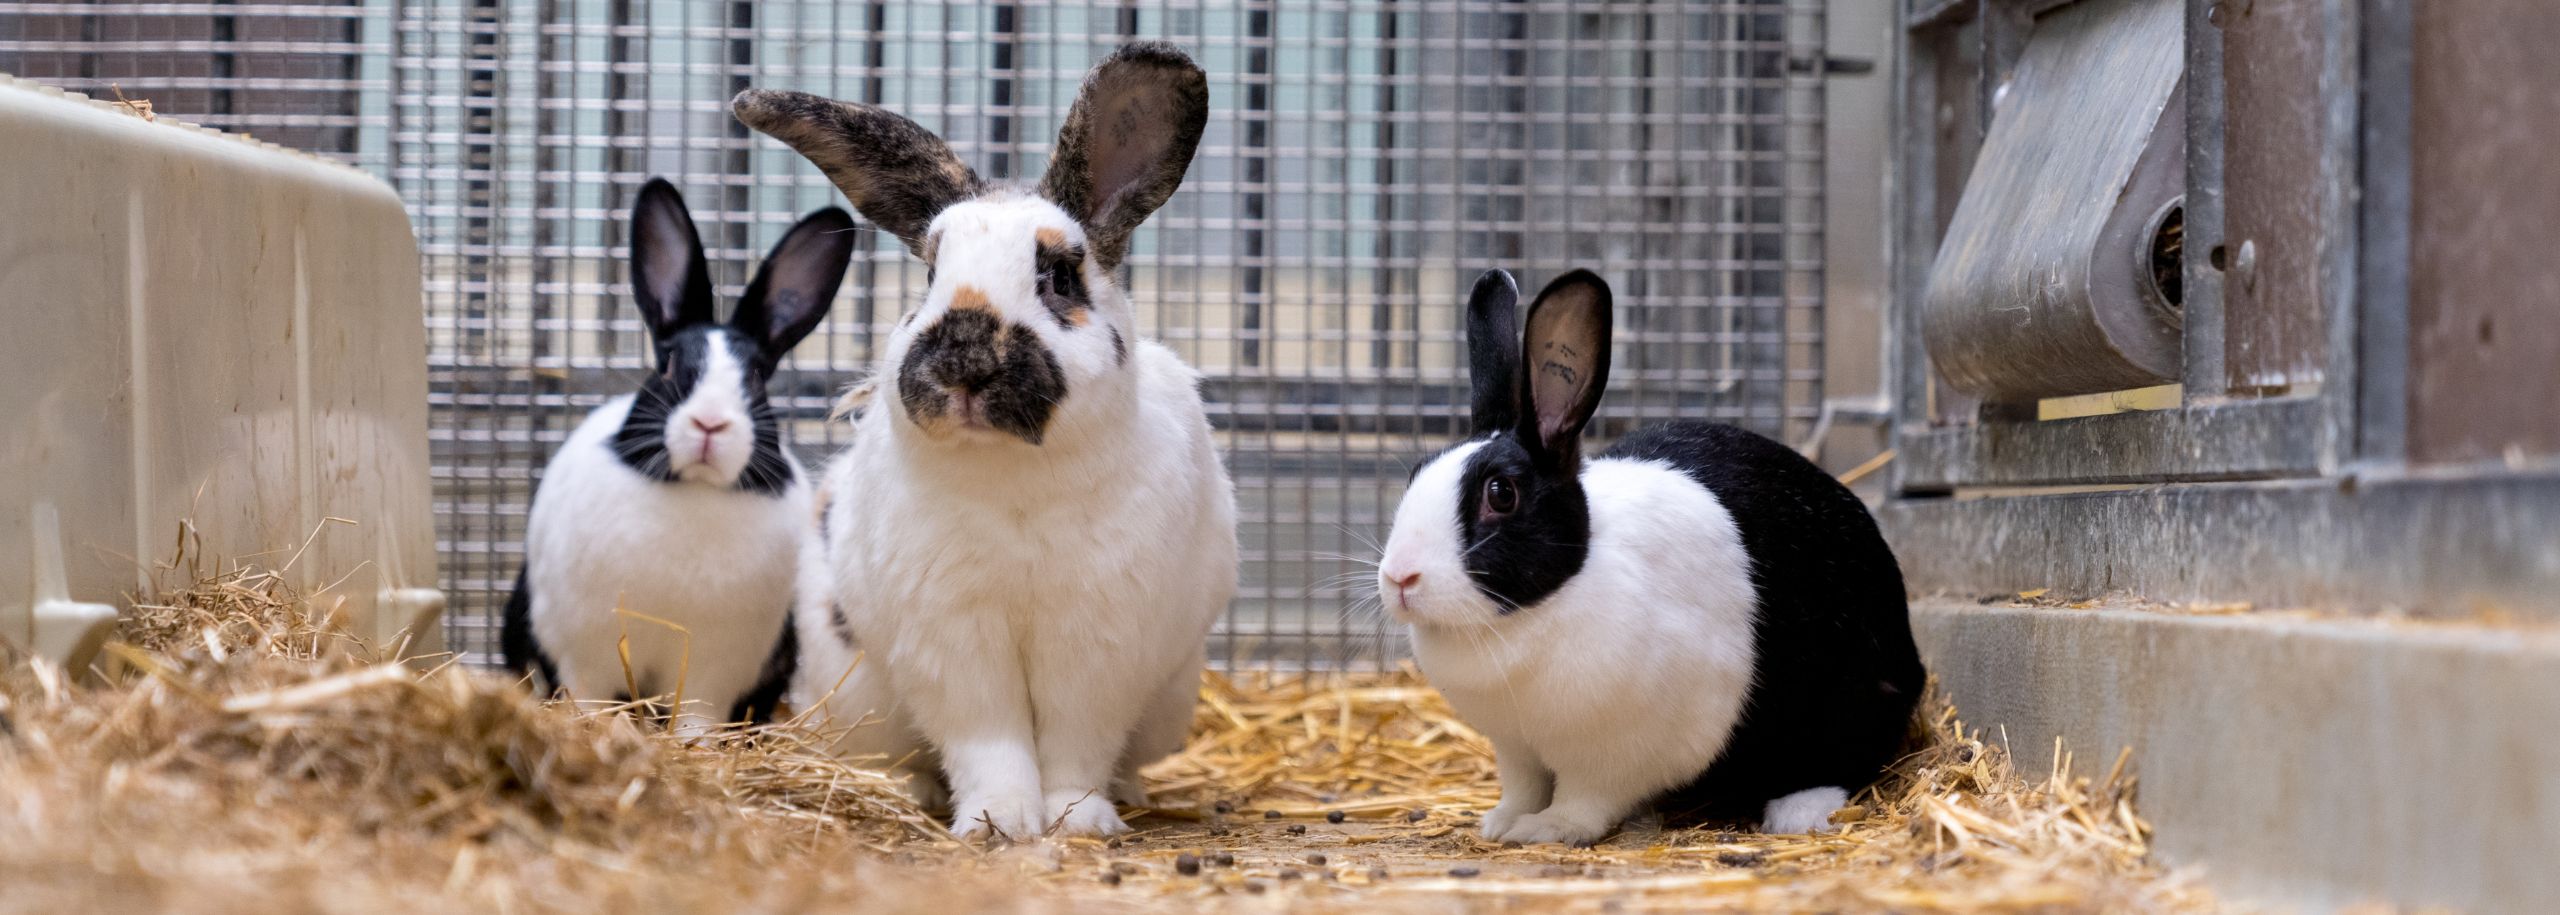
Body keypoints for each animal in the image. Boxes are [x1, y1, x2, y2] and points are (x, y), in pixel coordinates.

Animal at [501, 178, 860, 733]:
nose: (709, 423)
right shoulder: (584, 654)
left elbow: (698, 719)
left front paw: (695, 745)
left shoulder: (716, 668)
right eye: (667, 365)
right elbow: (589, 703)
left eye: (756, 378)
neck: (695, 490)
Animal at [732, 46, 1239, 835]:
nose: (963, 360)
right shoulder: (952, 636)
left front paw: (1079, 820)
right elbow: (986, 736)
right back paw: (910, 790)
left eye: (1058, 275)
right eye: (930, 274)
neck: (1013, 482)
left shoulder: (1099, 638)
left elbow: (1076, 737)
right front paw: (1000, 822)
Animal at [1382, 267, 1925, 845]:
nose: (1400, 578)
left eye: (1501, 493)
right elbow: (1524, 786)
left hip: (1849, 701)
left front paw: (1544, 830)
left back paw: (1798, 812)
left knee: (1843, 760)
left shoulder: (1610, 758)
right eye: (1416, 472)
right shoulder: (1516, 748)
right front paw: (1501, 823)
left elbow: (1584, 801)